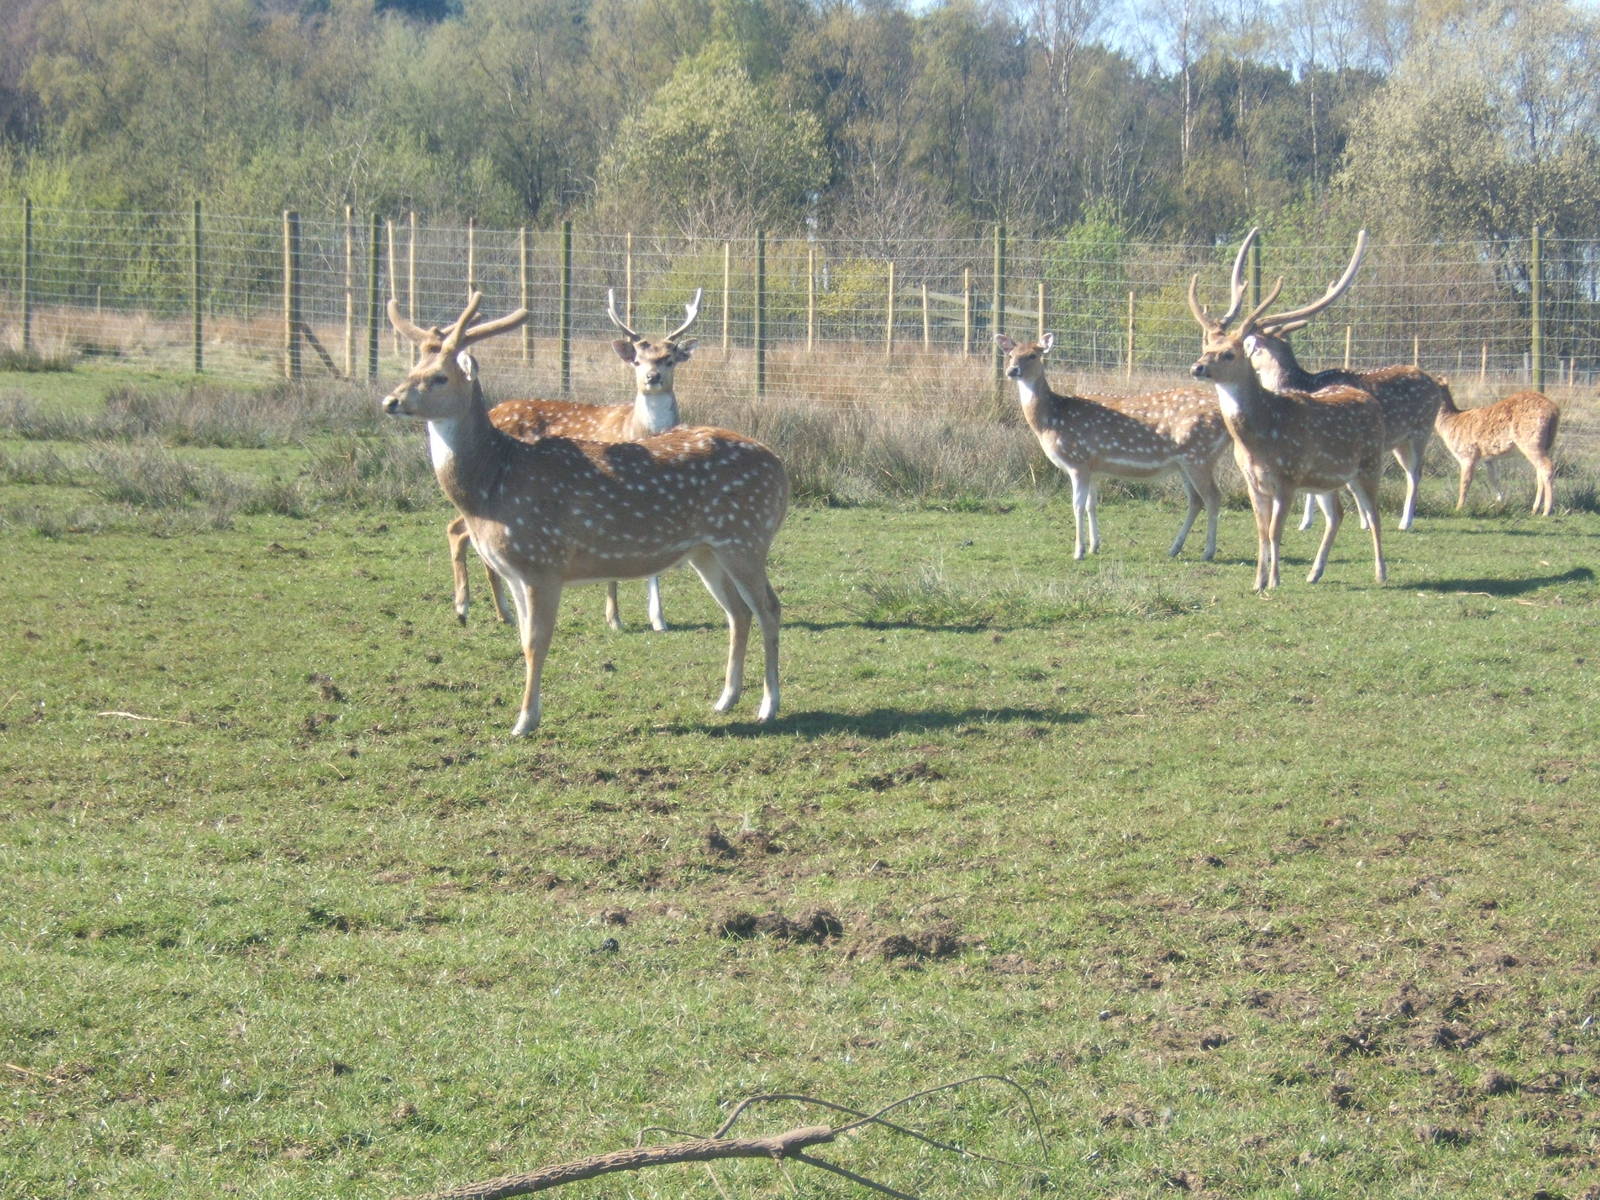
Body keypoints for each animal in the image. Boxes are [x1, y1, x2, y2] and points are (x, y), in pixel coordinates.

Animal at [447, 289, 703, 631]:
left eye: (669, 358)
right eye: (637, 359)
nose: (652, 377)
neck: (637, 429)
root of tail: (491, 413)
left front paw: (658, 619)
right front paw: (614, 618)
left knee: (460, 530)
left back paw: (497, 612)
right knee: (457, 529)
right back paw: (467, 607)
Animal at [995, 332, 1229, 562]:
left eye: (1033, 355)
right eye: (1010, 355)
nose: (1012, 370)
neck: (1051, 420)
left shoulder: (1078, 460)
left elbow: (1077, 506)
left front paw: (1078, 551)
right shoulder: (1093, 468)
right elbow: (1091, 505)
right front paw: (1094, 546)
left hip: (1199, 456)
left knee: (1213, 497)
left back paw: (1208, 552)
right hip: (1185, 463)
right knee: (1196, 500)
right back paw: (1174, 548)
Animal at [1188, 235, 1388, 591]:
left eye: (1228, 354)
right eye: (1206, 348)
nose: (1197, 367)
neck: (1259, 437)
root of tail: (1369, 398)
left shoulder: (1288, 477)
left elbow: (1274, 531)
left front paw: (1274, 581)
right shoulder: (1254, 482)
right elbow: (1260, 532)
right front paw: (1258, 581)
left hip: (1368, 464)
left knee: (1374, 514)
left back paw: (1381, 573)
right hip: (1325, 479)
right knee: (1337, 514)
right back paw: (1314, 572)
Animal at [1227, 230, 1446, 534]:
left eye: (1251, 346)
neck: (1299, 382)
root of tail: (1435, 382)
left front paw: (1307, 522)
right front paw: (1335, 521)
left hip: (1420, 431)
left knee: (1415, 473)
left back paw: (1406, 521)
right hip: (1400, 441)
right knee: (1407, 472)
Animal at [1434, 386, 1559, 514]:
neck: (1450, 424)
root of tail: (1554, 410)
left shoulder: (1468, 454)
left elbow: (1465, 482)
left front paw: (1458, 508)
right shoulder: (1488, 458)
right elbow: (1494, 478)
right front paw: (1500, 504)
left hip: (1531, 443)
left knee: (1547, 467)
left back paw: (1546, 511)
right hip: (1545, 445)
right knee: (1539, 471)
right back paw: (1534, 510)